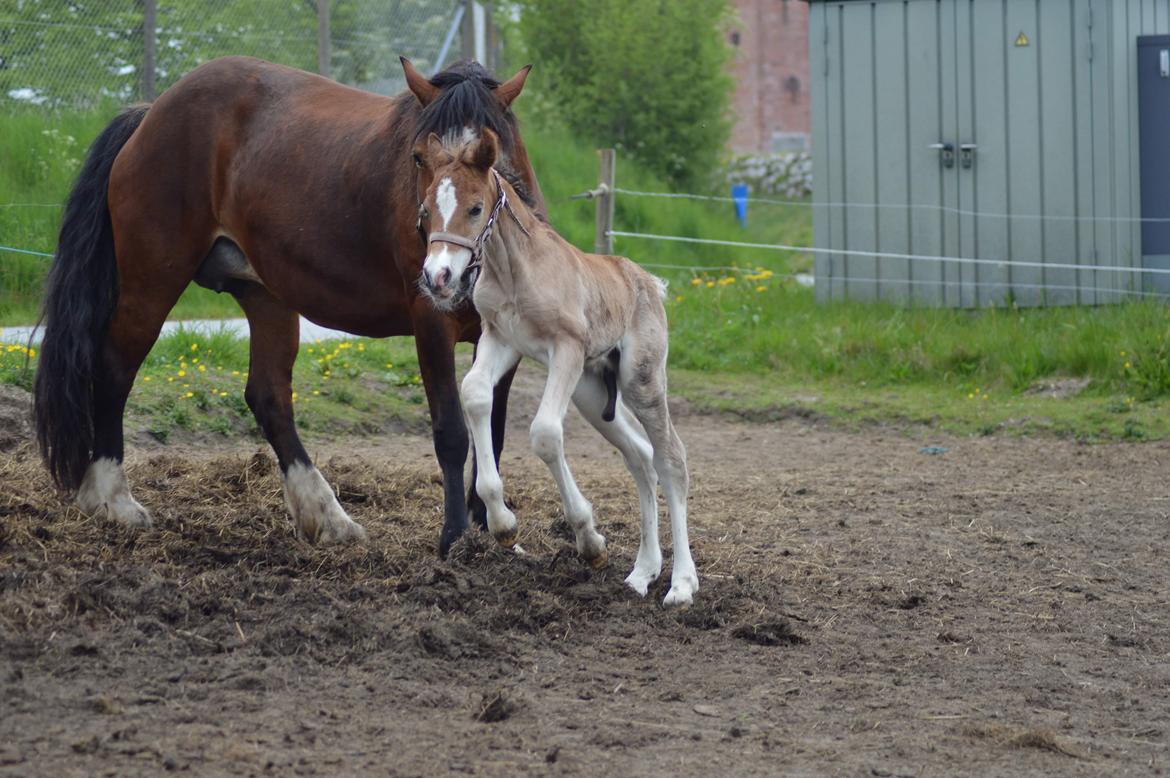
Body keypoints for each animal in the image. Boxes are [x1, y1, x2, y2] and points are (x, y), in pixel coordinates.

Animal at [33, 54, 542, 554]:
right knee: (115, 368)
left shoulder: (503, 338)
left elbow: (493, 430)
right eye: (419, 157)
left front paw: (489, 527)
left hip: (267, 297)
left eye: (492, 156)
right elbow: (452, 432)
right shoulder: (430, 326)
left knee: (268, 397)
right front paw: (454, 536)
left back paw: (325, 513)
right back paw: (112, 498)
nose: (445, 272)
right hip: (151, 282)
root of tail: (151, 114)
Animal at [416, 128, 697, 608]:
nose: (439, 277)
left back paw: (681, 584)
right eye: (426, 210)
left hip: (640, 381)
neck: (513, 269)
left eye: (475, 208)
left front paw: (588, 538)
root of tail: (650, 282)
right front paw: (504, 527)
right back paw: (642, 572)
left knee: (671, 458)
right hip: (592, 394)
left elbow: (546, 433)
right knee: (641, 457)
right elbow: (475, 394)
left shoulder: (566, 347)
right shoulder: (501, 339)